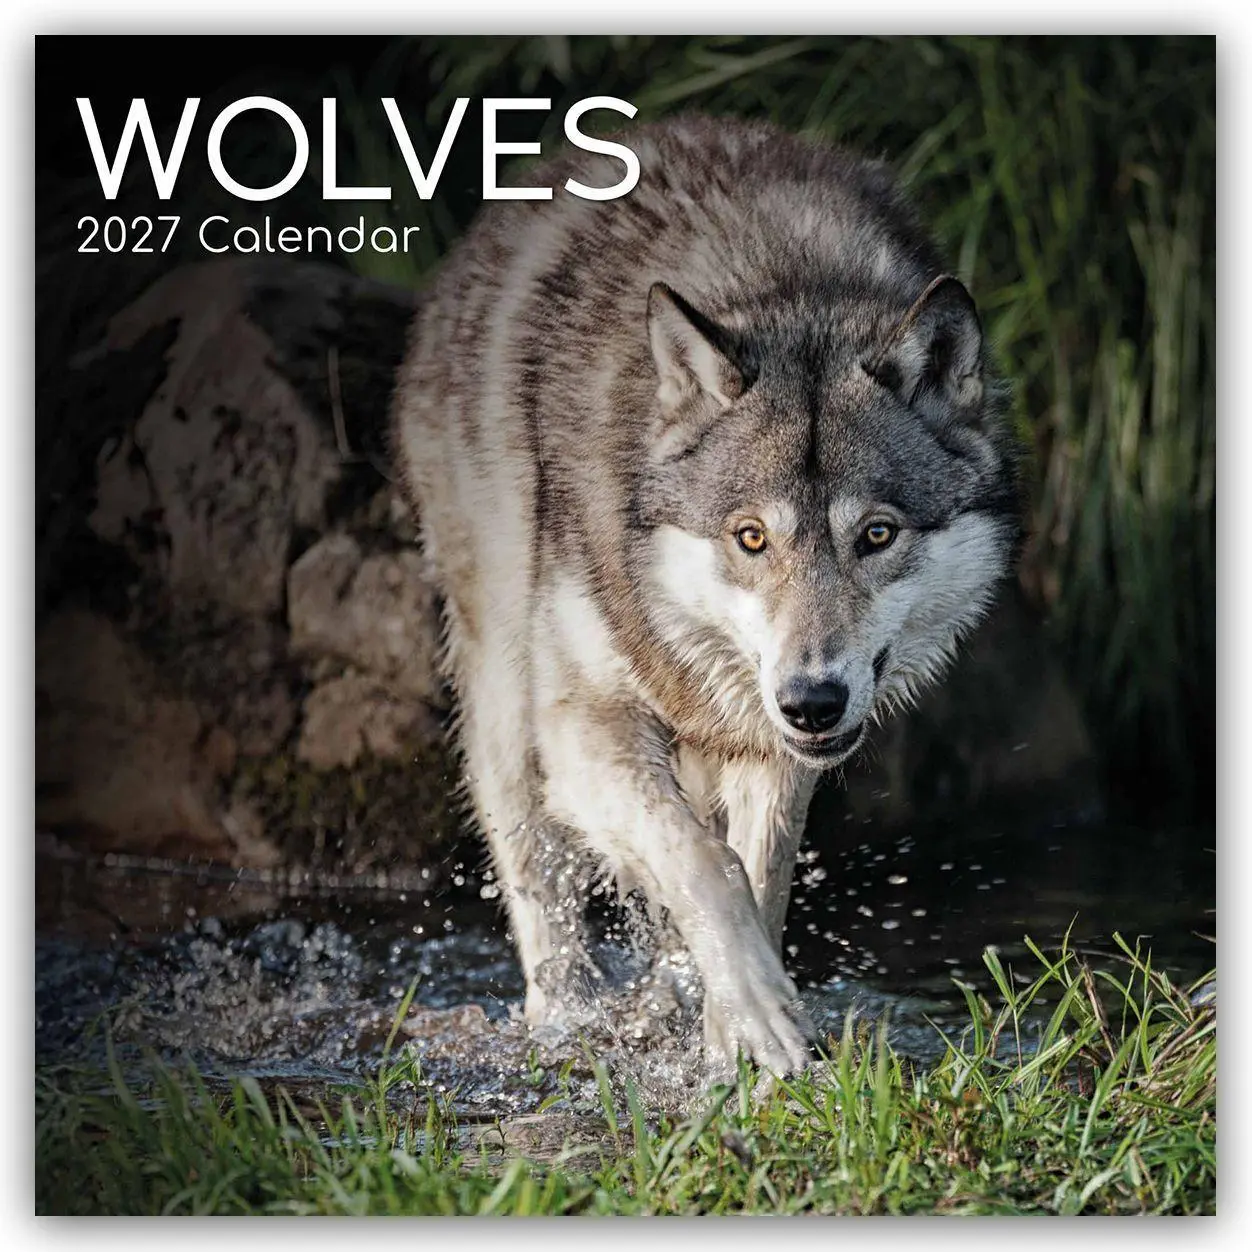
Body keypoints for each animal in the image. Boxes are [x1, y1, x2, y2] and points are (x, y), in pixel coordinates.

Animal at [391, 116, 1020, 1074]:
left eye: (877, 535)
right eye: (751, 537)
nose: (812, 701)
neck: (785, 281)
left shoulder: (772, 750)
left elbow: (755, 875)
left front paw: (730, 1043)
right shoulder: (582, 724)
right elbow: (703, 862)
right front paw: (753, 1009)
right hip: (504, 699)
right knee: (538, 869)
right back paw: (565, 1021)